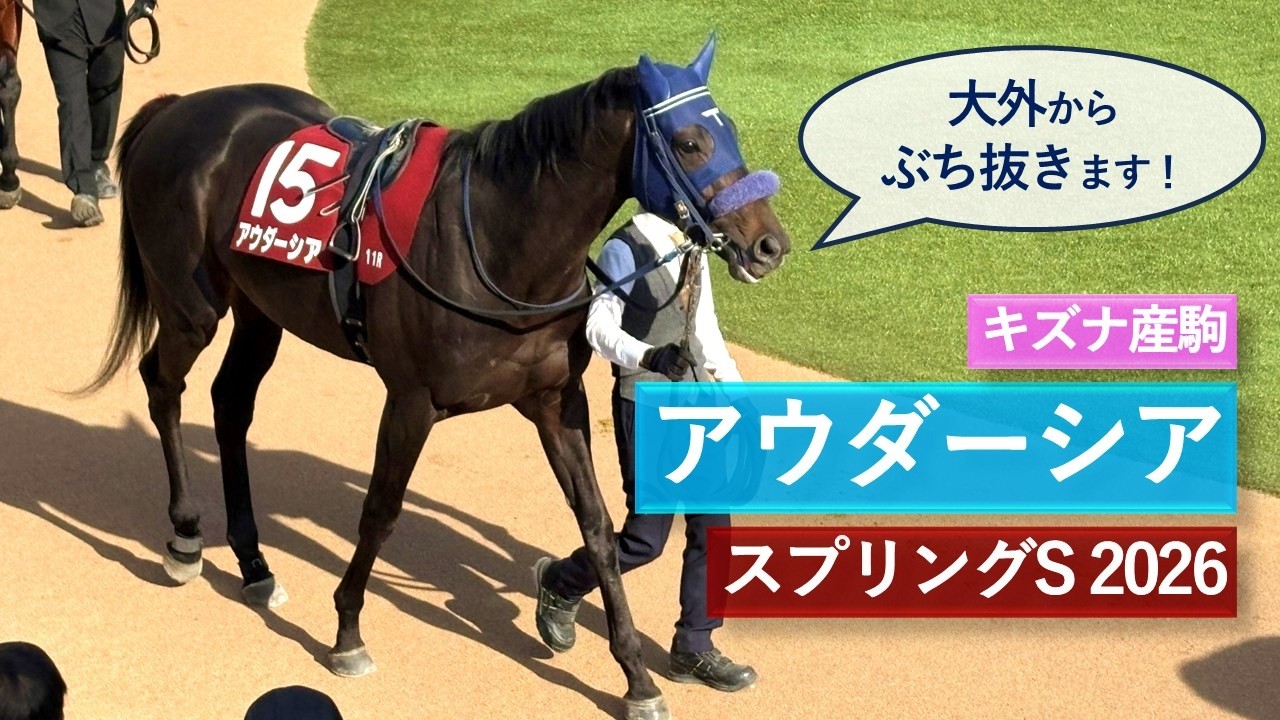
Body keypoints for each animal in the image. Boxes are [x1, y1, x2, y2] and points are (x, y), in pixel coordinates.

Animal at [86, 36, 788, 720]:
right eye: (690, 141)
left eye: (730, 131)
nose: (769, 244)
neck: (501, 244)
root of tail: (174, 109)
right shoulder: (411, 401)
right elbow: (380, 511)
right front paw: (346, 633)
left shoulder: (554, 400)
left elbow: (596, 526)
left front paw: (636, 678)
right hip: (191, 305)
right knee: (162, 386)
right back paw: (185, 537)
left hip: (261, 309)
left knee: (230, 404)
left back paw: (254, 562)